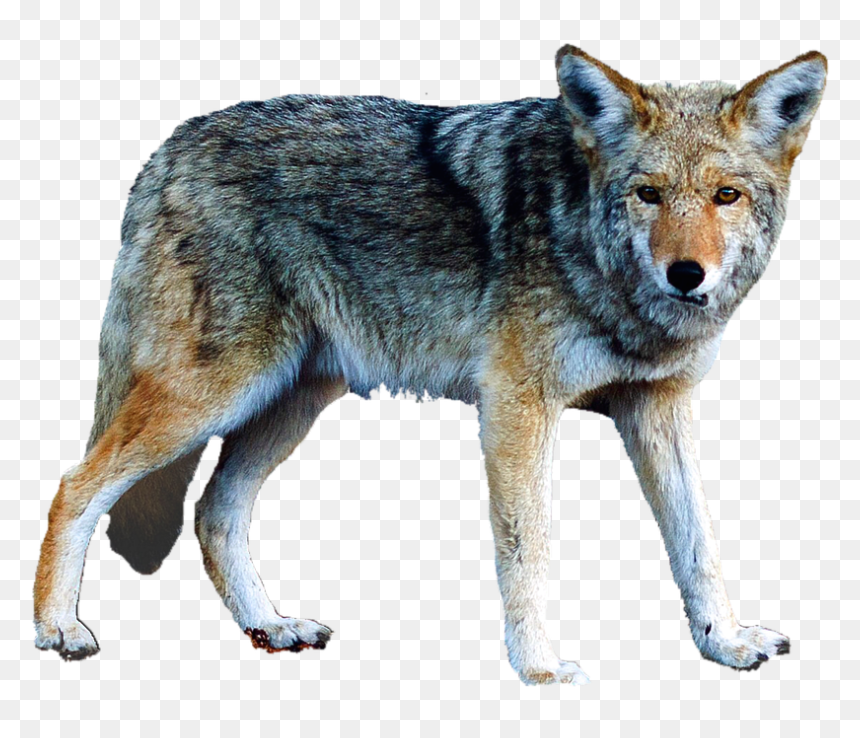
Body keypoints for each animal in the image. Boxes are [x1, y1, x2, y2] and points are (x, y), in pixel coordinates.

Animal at [34, 45, 826, 684]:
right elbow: (527, 548)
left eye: (725, 196)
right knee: (76, 486)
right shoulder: (516, 407)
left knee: (213, 513)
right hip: (214, 395)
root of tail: (168, 147)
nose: (686, 274)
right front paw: (539, 668)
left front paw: (724, 643)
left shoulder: (659, 408)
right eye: (649, 194)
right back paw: (59, 629)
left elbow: (697, 543)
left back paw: (271, 625)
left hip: (286, 404)